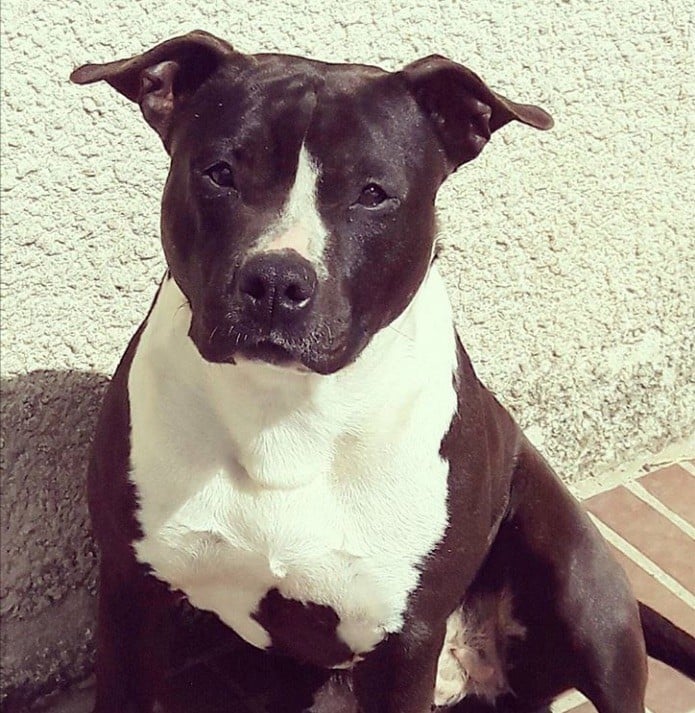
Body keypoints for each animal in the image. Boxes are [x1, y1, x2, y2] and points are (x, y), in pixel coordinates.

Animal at [71, 30, 695, 713]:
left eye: (373, 193)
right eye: (220, 173)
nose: (276, 280)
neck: (285, 411)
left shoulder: (404, 643)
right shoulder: (129, 596)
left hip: (583, 589)